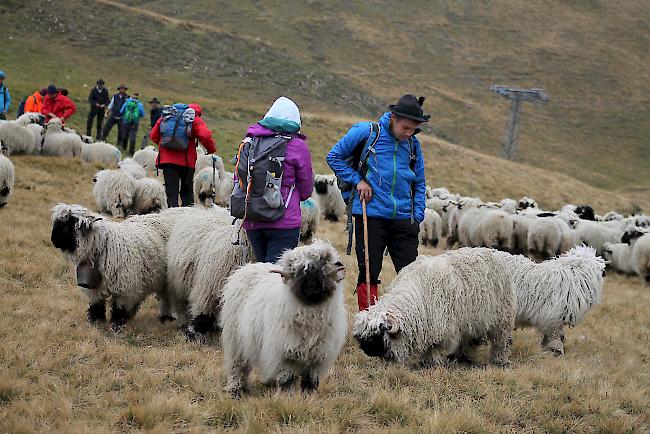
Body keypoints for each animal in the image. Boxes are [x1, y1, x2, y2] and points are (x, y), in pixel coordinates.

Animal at [220, 241, 346, 396]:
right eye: (298, 272)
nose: (312, 288)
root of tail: (248, 267)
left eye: (322, 269)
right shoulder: (285, 354)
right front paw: (287, 397)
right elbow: (287, 379)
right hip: (236, 341)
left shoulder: (318, 358)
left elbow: (310, 382)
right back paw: (237, 389)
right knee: (237, 366)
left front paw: (308, 398)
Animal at [352, 249, 512, 368]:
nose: (367, 351)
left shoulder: (443, 330)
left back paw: (500, 361)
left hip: (502, 319)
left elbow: (436, 349)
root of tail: (492, 251)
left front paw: (433, 363)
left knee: (501, 341)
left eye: (377, 336)